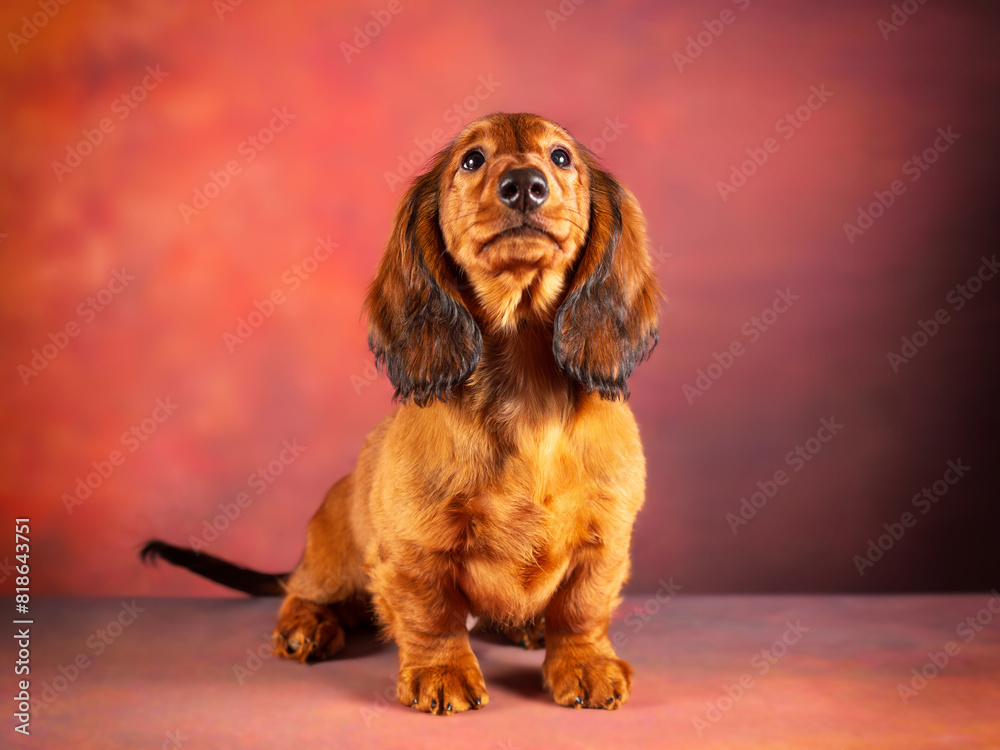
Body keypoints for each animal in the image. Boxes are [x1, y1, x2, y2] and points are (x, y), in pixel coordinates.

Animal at [141, 113, 656, 716]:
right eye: (472, 160)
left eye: (560, 157)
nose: (524, 185)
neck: (525, 388)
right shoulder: (415, 546)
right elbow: (432, 615)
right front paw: (442, 673)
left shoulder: (605, 538)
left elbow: (581, 607)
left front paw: (585, 662)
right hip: (333, 561)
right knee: (301, 591)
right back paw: (307, 625)